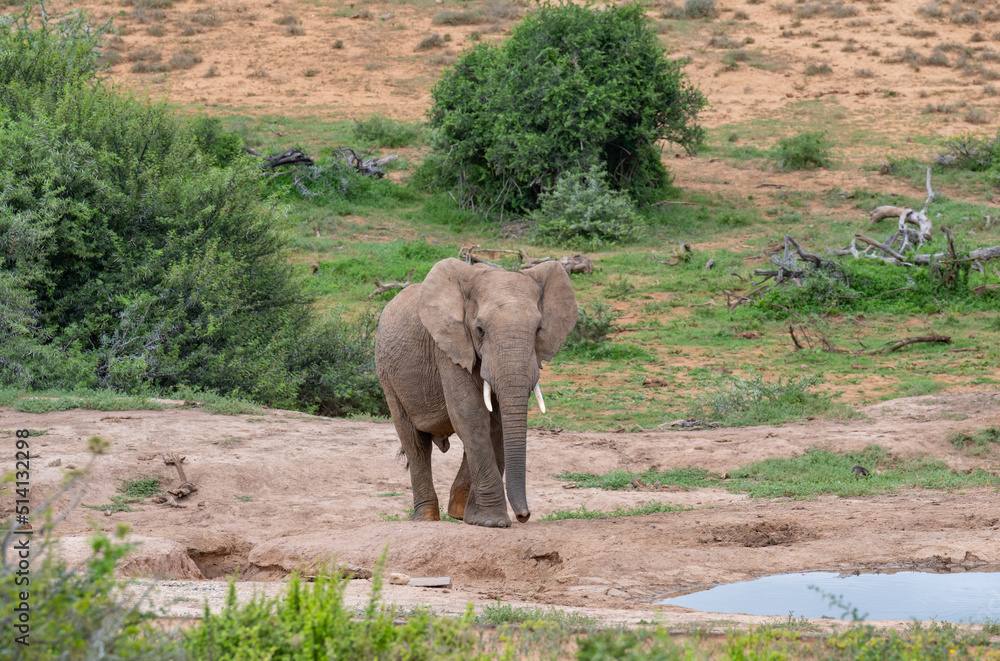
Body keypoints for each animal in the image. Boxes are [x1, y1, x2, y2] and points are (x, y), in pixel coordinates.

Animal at [375, 258, 578, 528]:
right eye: (479, 329)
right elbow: (470, 415)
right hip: (386, 374)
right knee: (415, 444)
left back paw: (458, 513)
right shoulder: (449, 347)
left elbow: (496, 424)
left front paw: (477, 519)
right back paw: (426, 518)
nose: (524, 516)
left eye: (538, 330)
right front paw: (494, 522)